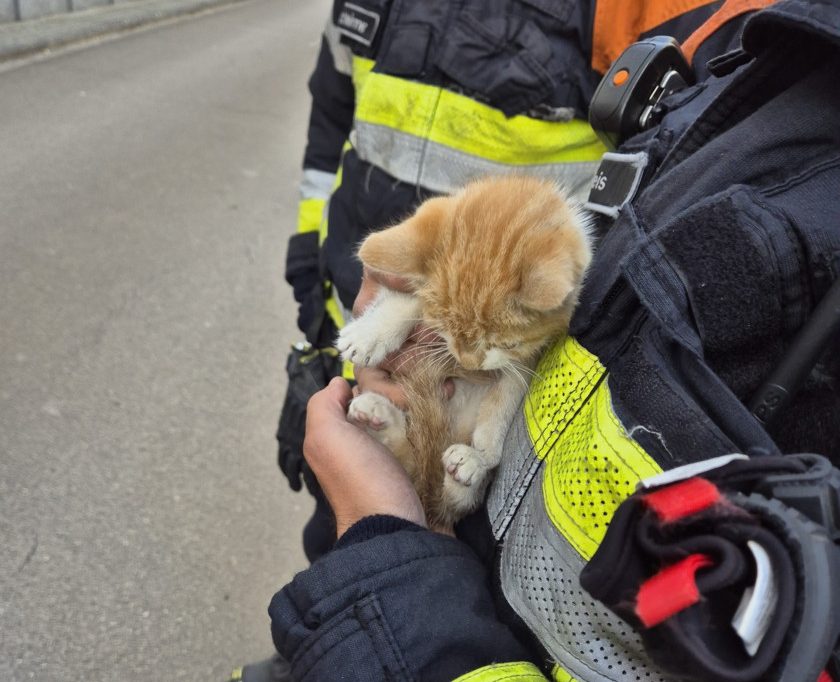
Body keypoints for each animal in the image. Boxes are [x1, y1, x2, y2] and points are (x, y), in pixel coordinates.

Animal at [334, 175, 592, 524]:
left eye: (505, 343)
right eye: (444, 328)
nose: (469, 363)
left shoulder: (532, 353)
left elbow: (511, 388)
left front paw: (486, 448)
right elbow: (411, 299)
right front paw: (370, 333)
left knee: (452, 498)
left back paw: (464, 468)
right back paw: (377, 416)